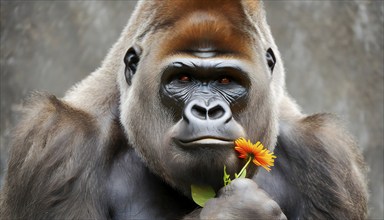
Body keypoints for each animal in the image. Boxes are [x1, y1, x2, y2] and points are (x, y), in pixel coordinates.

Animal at [0, 0, 368, 219]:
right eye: (183, 78)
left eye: (226, 79)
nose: (207, 110)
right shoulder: (59, 143)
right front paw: (234, 212)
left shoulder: (326, 156)